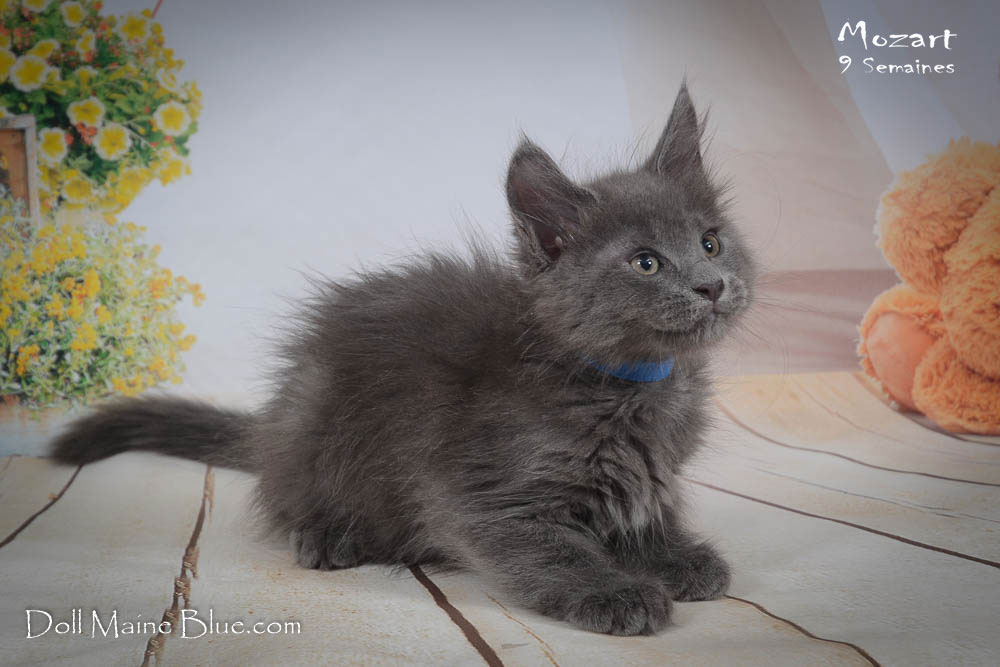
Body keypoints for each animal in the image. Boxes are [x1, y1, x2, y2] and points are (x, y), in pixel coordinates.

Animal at [53, 83, 756, 636]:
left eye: (710, 243)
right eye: (646, 263)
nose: (712, 286)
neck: (634, 382)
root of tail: (273, 418)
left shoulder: (650, 474)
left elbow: (645, 510)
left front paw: (675, 554)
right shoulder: (480, 496)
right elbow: (555, 551)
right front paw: (615, 590)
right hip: (314, 420)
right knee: (288, 498)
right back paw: (326, 535)